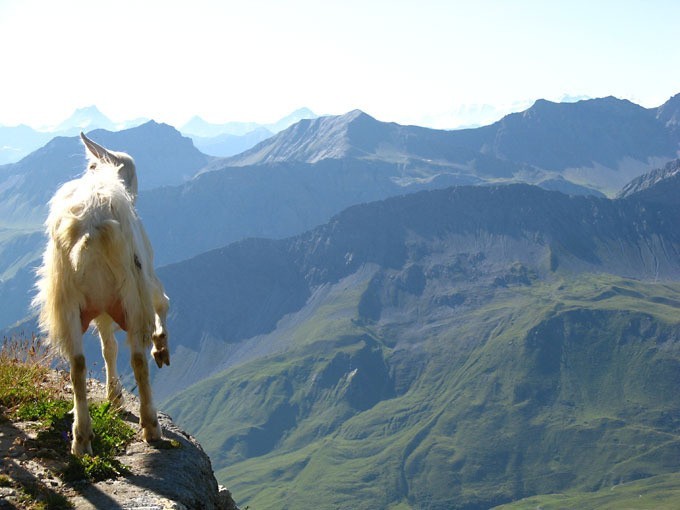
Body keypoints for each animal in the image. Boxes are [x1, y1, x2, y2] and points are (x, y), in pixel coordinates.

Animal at [32, 133, 171, 456]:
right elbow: (163, 304)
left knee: (78, 364)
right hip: (132, 289)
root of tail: (90, 227)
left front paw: (114, 396)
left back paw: (81, 438)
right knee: (138, 358)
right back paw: (151, 426)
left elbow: (108, 347)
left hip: (66, 299)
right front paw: (161, 346)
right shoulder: (144, 277)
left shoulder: (103, 305)